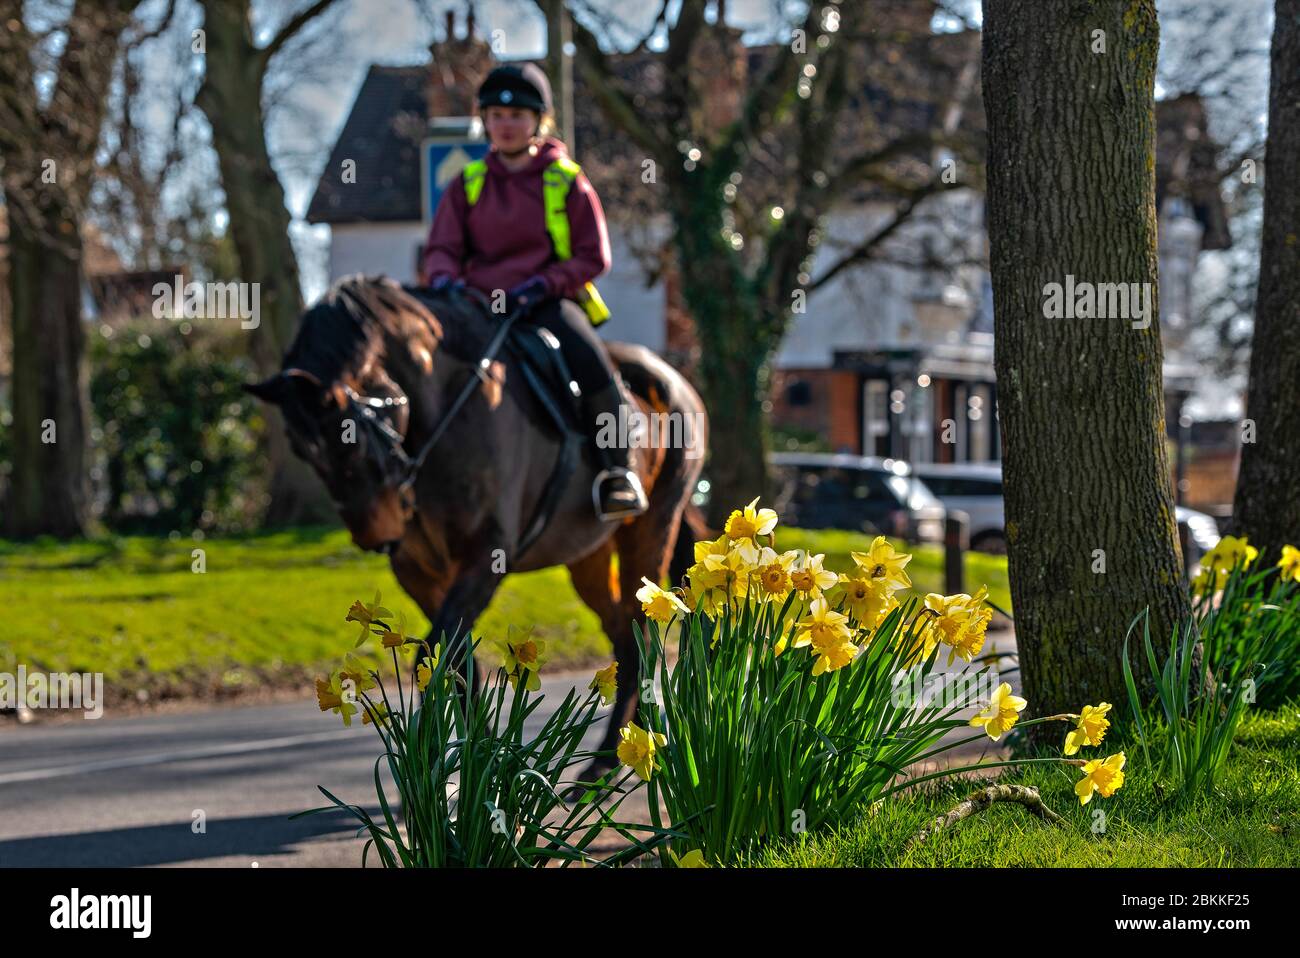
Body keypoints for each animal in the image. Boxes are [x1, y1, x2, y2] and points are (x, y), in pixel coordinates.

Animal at [245, 275, 708, 778]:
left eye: (349, 440)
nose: (375, 535)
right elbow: (458, 662)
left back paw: (623, 753)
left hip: (651, 528)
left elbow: (438, 653)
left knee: (643, 635)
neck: (448, 408)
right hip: (588, 556)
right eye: (300, 449)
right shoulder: (421, 572)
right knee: (624, 636)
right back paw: (606, 759)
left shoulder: (486, 558)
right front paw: (483, 761)